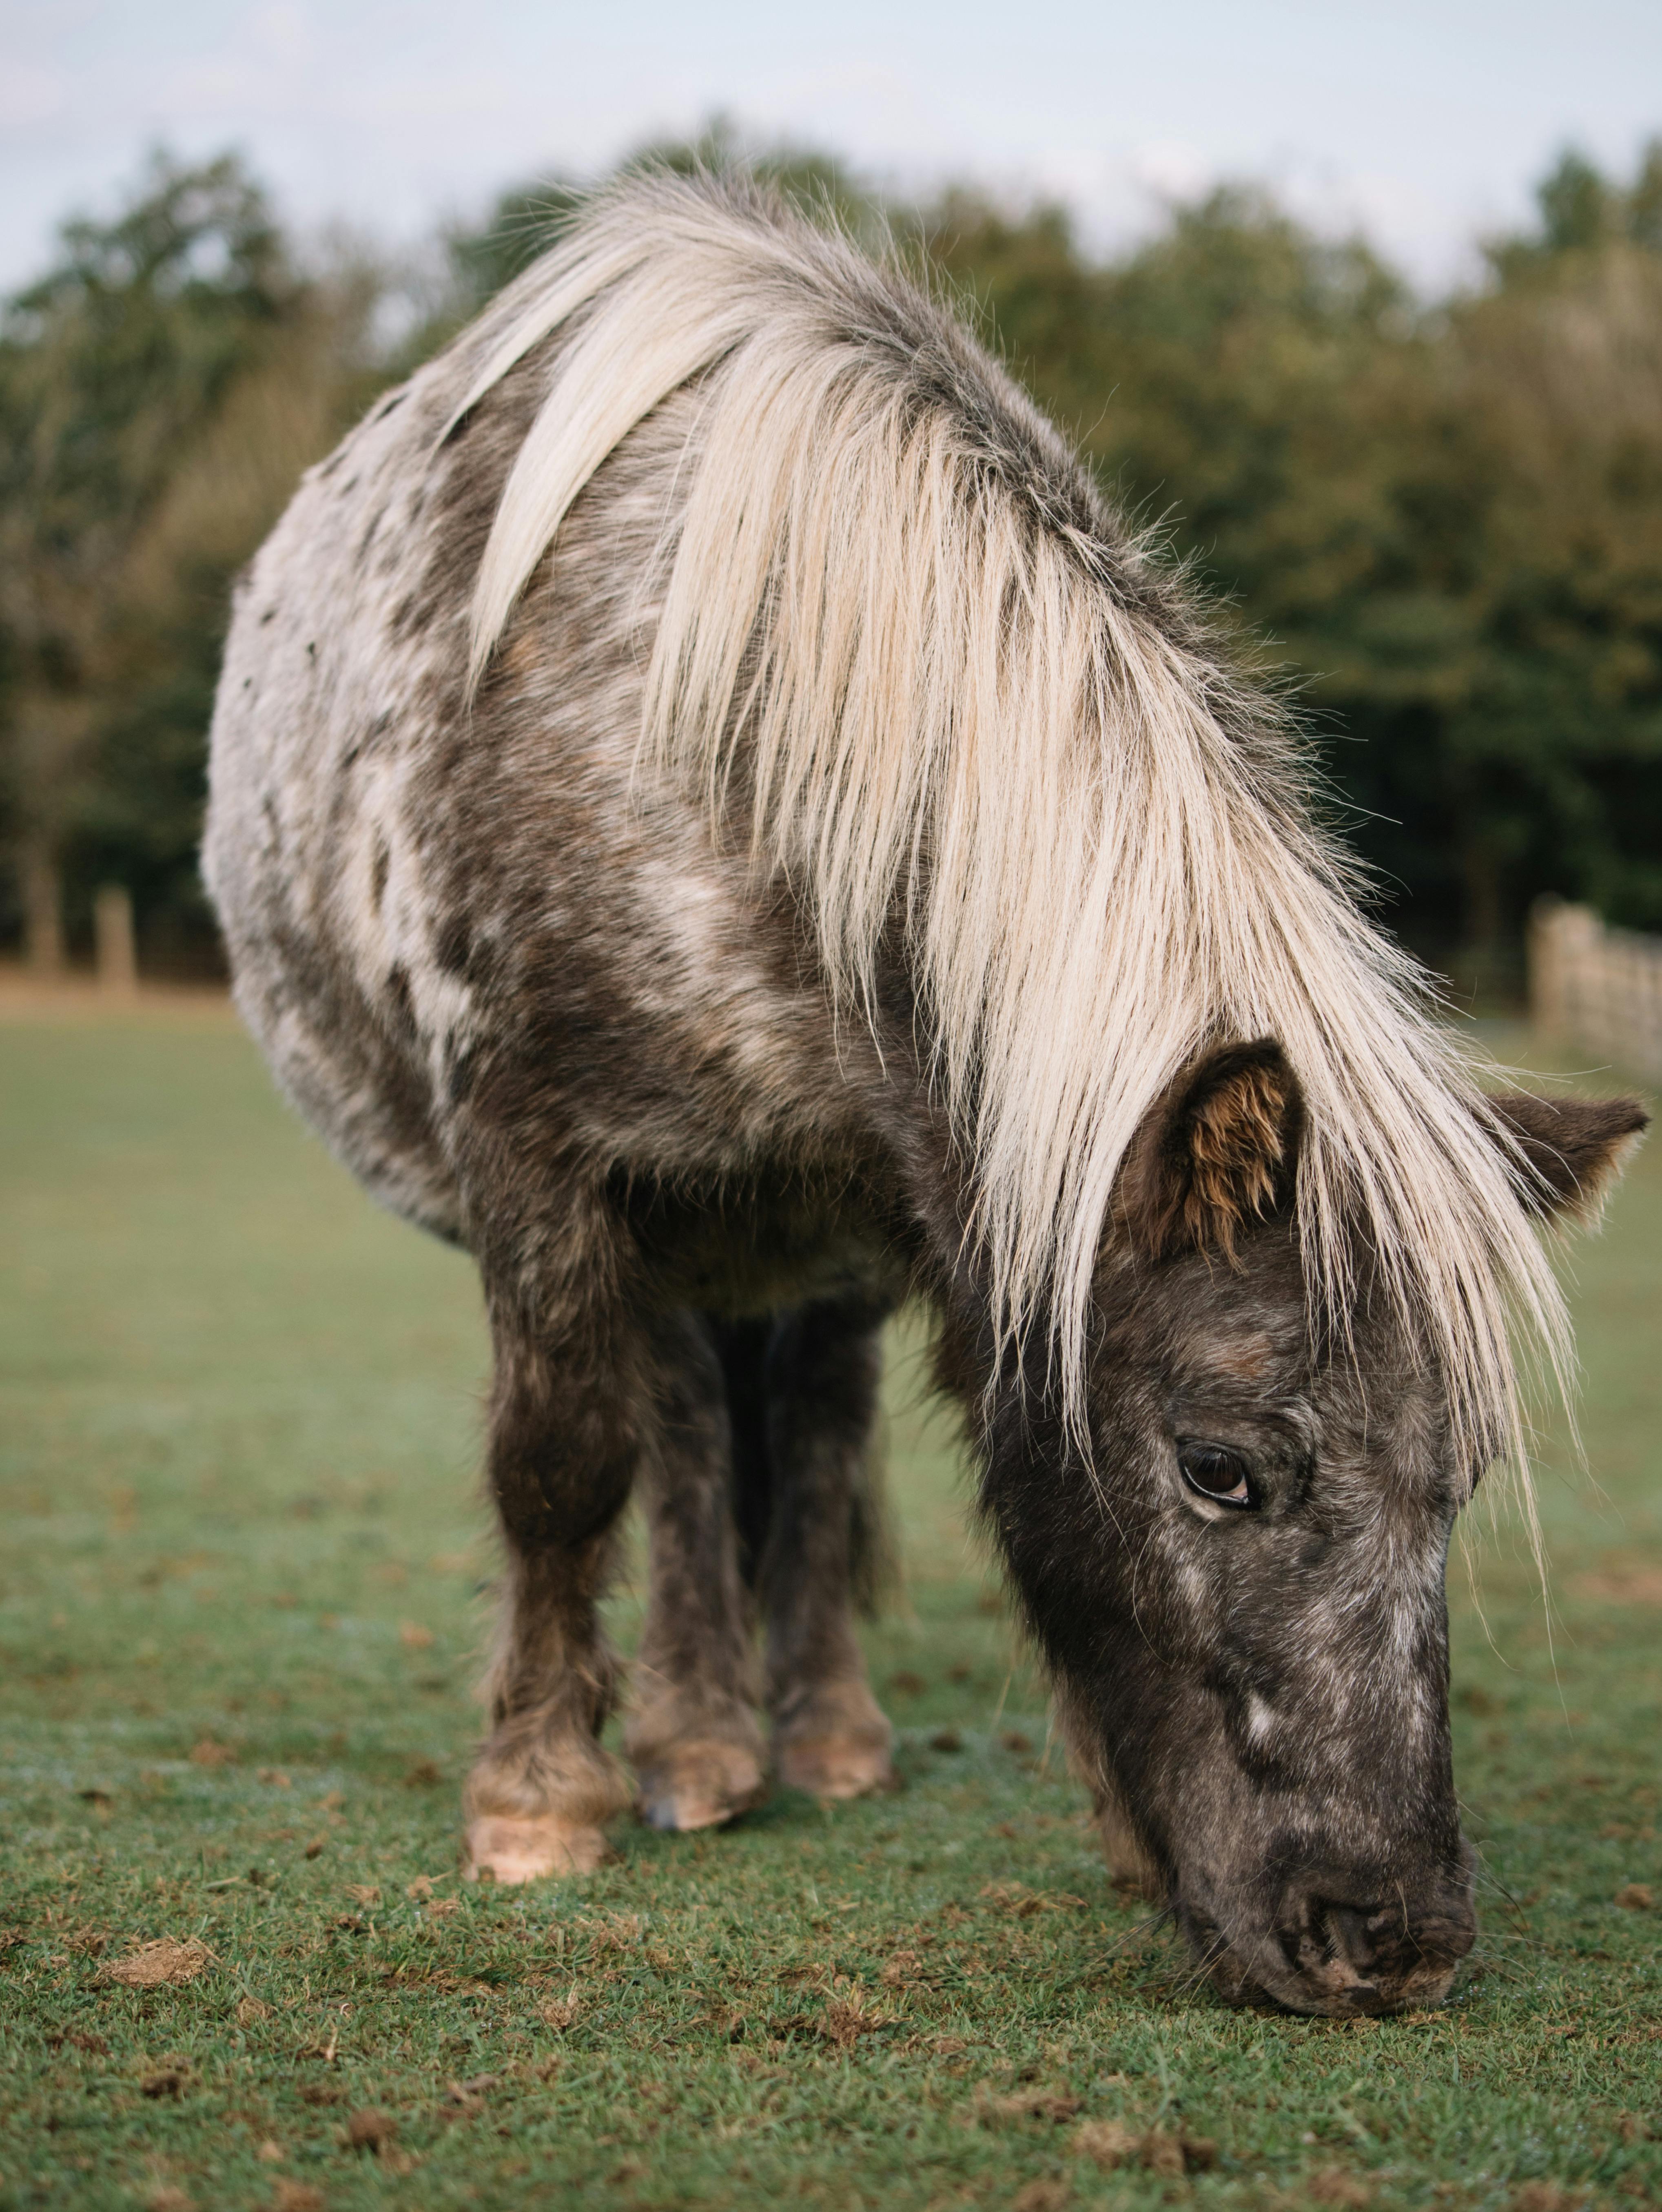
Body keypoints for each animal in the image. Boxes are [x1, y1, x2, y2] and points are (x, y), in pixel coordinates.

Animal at [201, 164, 1646, 2017]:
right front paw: (534, 1797)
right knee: (673, 1432)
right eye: (1221, 1470)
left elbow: (850, 1466)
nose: (1388, 1937)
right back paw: (692, 1743)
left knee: (795, 1436)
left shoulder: (937, 1192)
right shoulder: (536, 1161)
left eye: (1457, 1481)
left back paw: (800, 1734)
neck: (710, 711)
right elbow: (562, 1461)